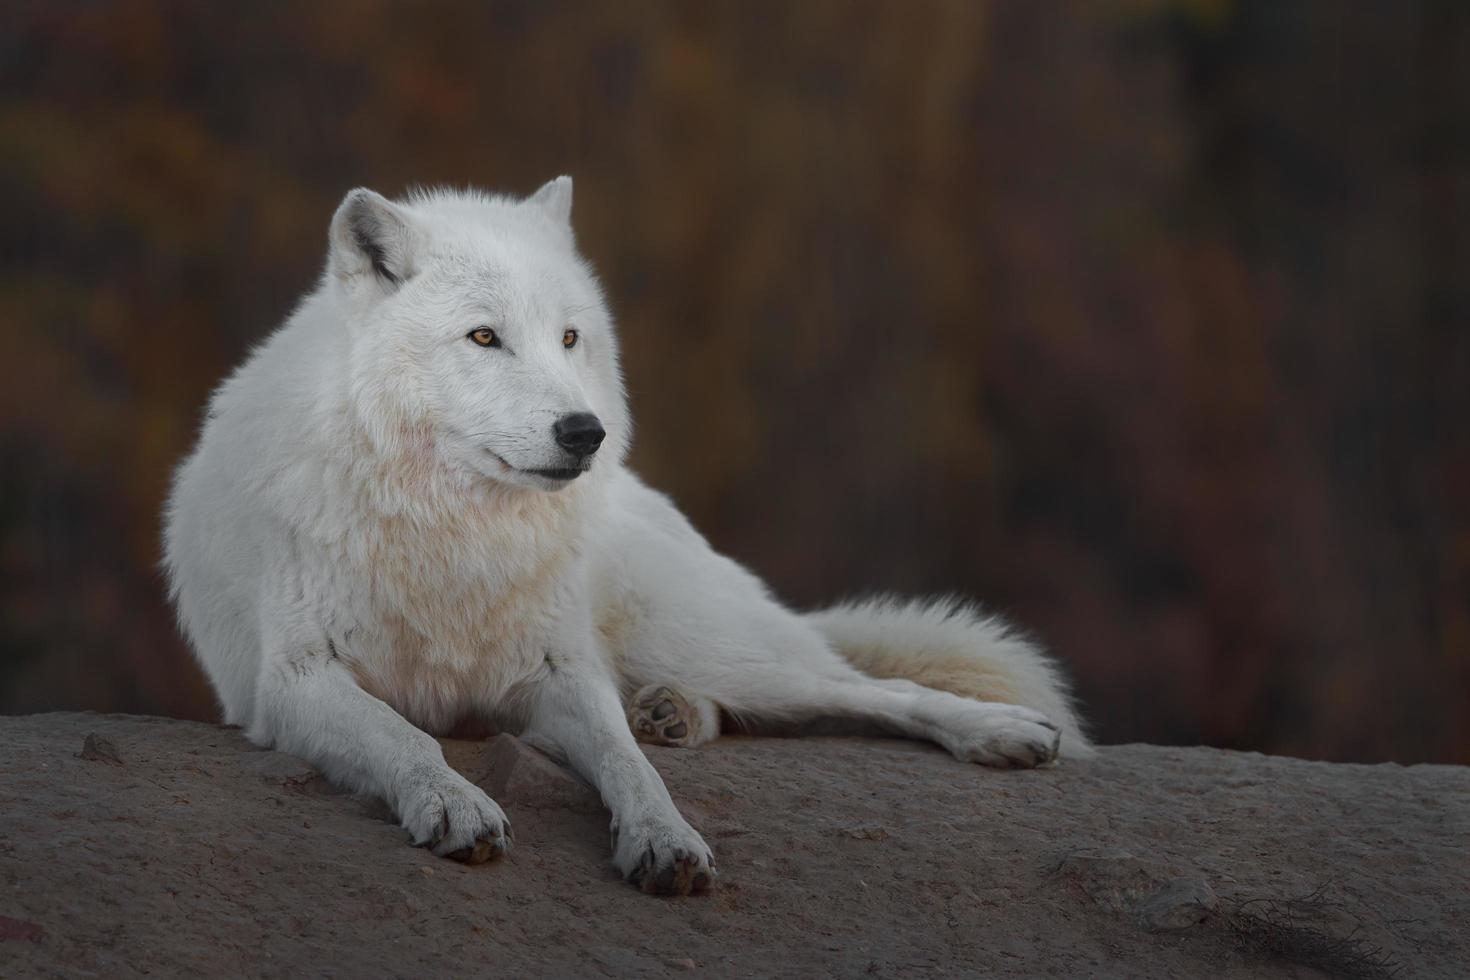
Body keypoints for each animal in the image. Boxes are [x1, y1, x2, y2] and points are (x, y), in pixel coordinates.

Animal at [163, 176, 1093, 899]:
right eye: (483, 336)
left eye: (570, 337)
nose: (585, 432)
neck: (456, 534)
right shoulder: (291, 682)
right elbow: (406, 736)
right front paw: (455, 802)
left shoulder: (560, 671)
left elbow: (625, 764)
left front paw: (664, 837)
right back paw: (674, 712)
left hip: (710, 642)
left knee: (865, 688)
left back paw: (999, 732)